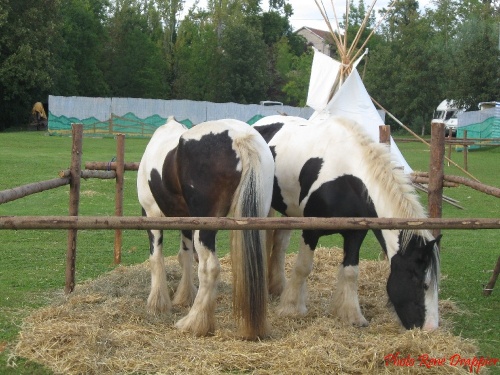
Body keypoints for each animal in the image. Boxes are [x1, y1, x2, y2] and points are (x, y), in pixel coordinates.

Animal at [254, 115, 442, 332]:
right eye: (422, 283)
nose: (430, 328)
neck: (346, 176)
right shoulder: (311, 230)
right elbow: (303, 267)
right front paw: (292, 309)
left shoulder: (355, 233)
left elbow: (351, 271)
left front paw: (351, 315)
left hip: (290, 211)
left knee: (280, 243)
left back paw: (277, 287)